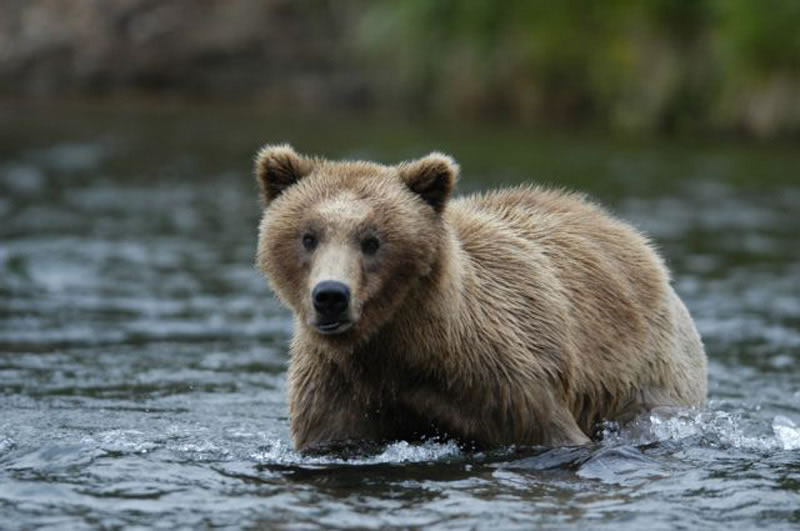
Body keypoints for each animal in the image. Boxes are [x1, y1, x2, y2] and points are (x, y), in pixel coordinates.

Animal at [253, 144, 707, 452]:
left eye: (372, 240)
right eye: (308, 236)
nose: (331, 295)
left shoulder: (506, 379)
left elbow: (552, 429)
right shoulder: (338, 389)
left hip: (645, 369)